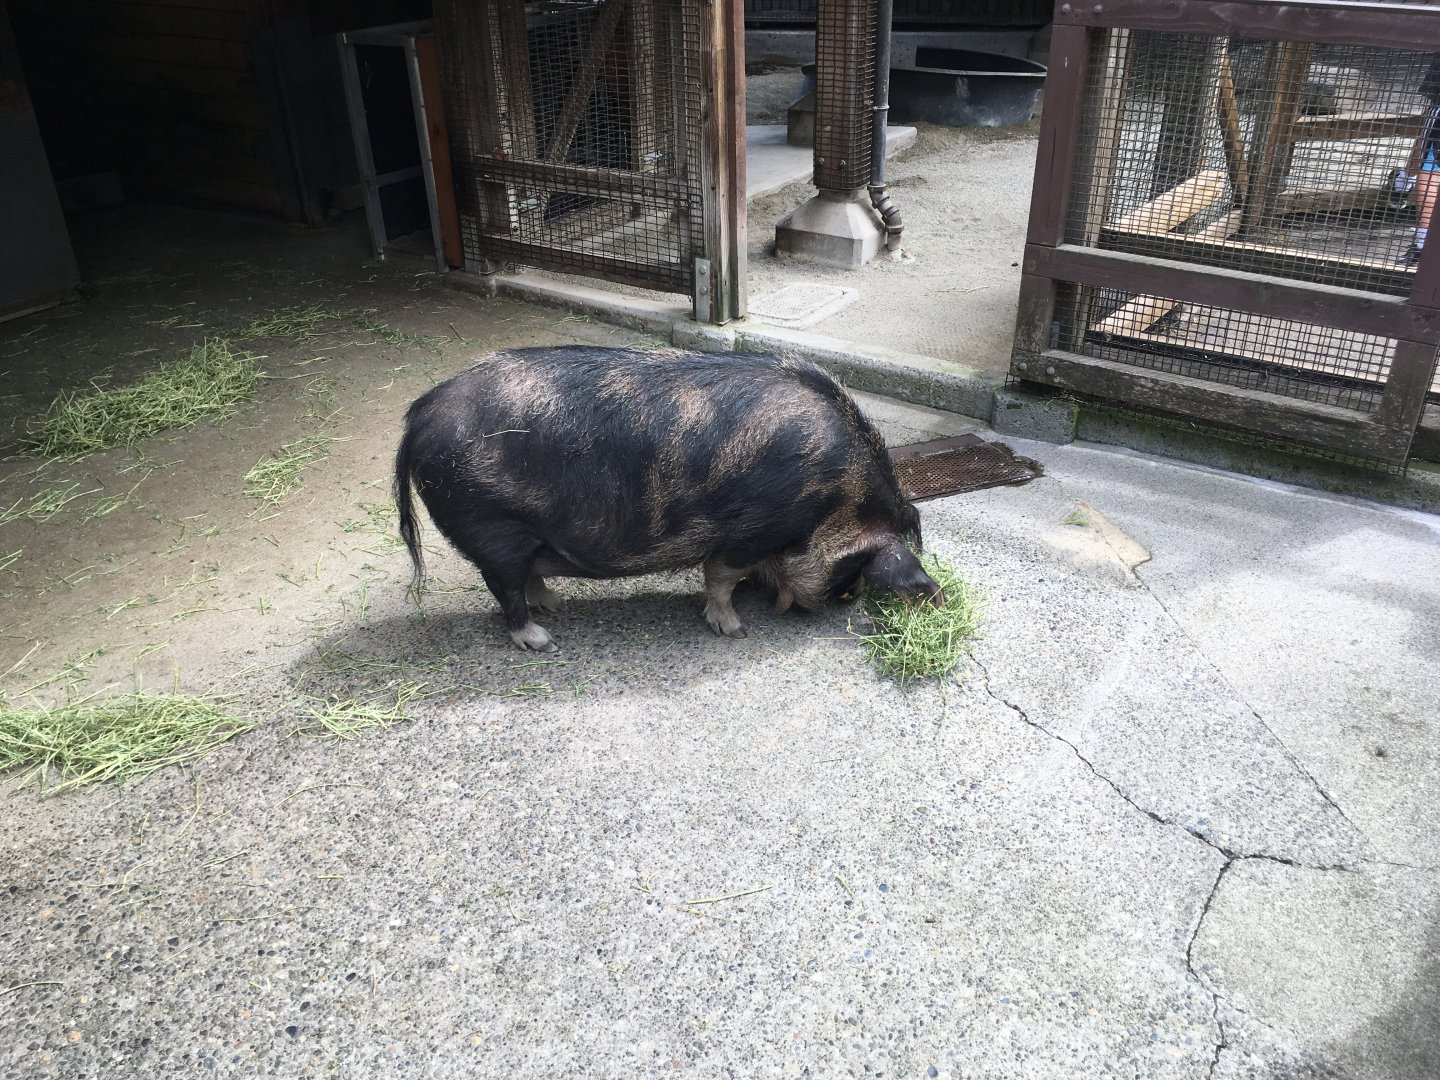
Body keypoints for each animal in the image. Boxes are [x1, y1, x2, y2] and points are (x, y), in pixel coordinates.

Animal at [393, 346, 943, 651]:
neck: (834, 498)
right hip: (491, 524)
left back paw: (558, 606)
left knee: (526, 577)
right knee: (504, 587)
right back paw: (543, 641)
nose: (838, 602)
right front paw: (734, 630)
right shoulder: (748, 529)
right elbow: (720, 576)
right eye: (851, 574)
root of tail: (419, 414)